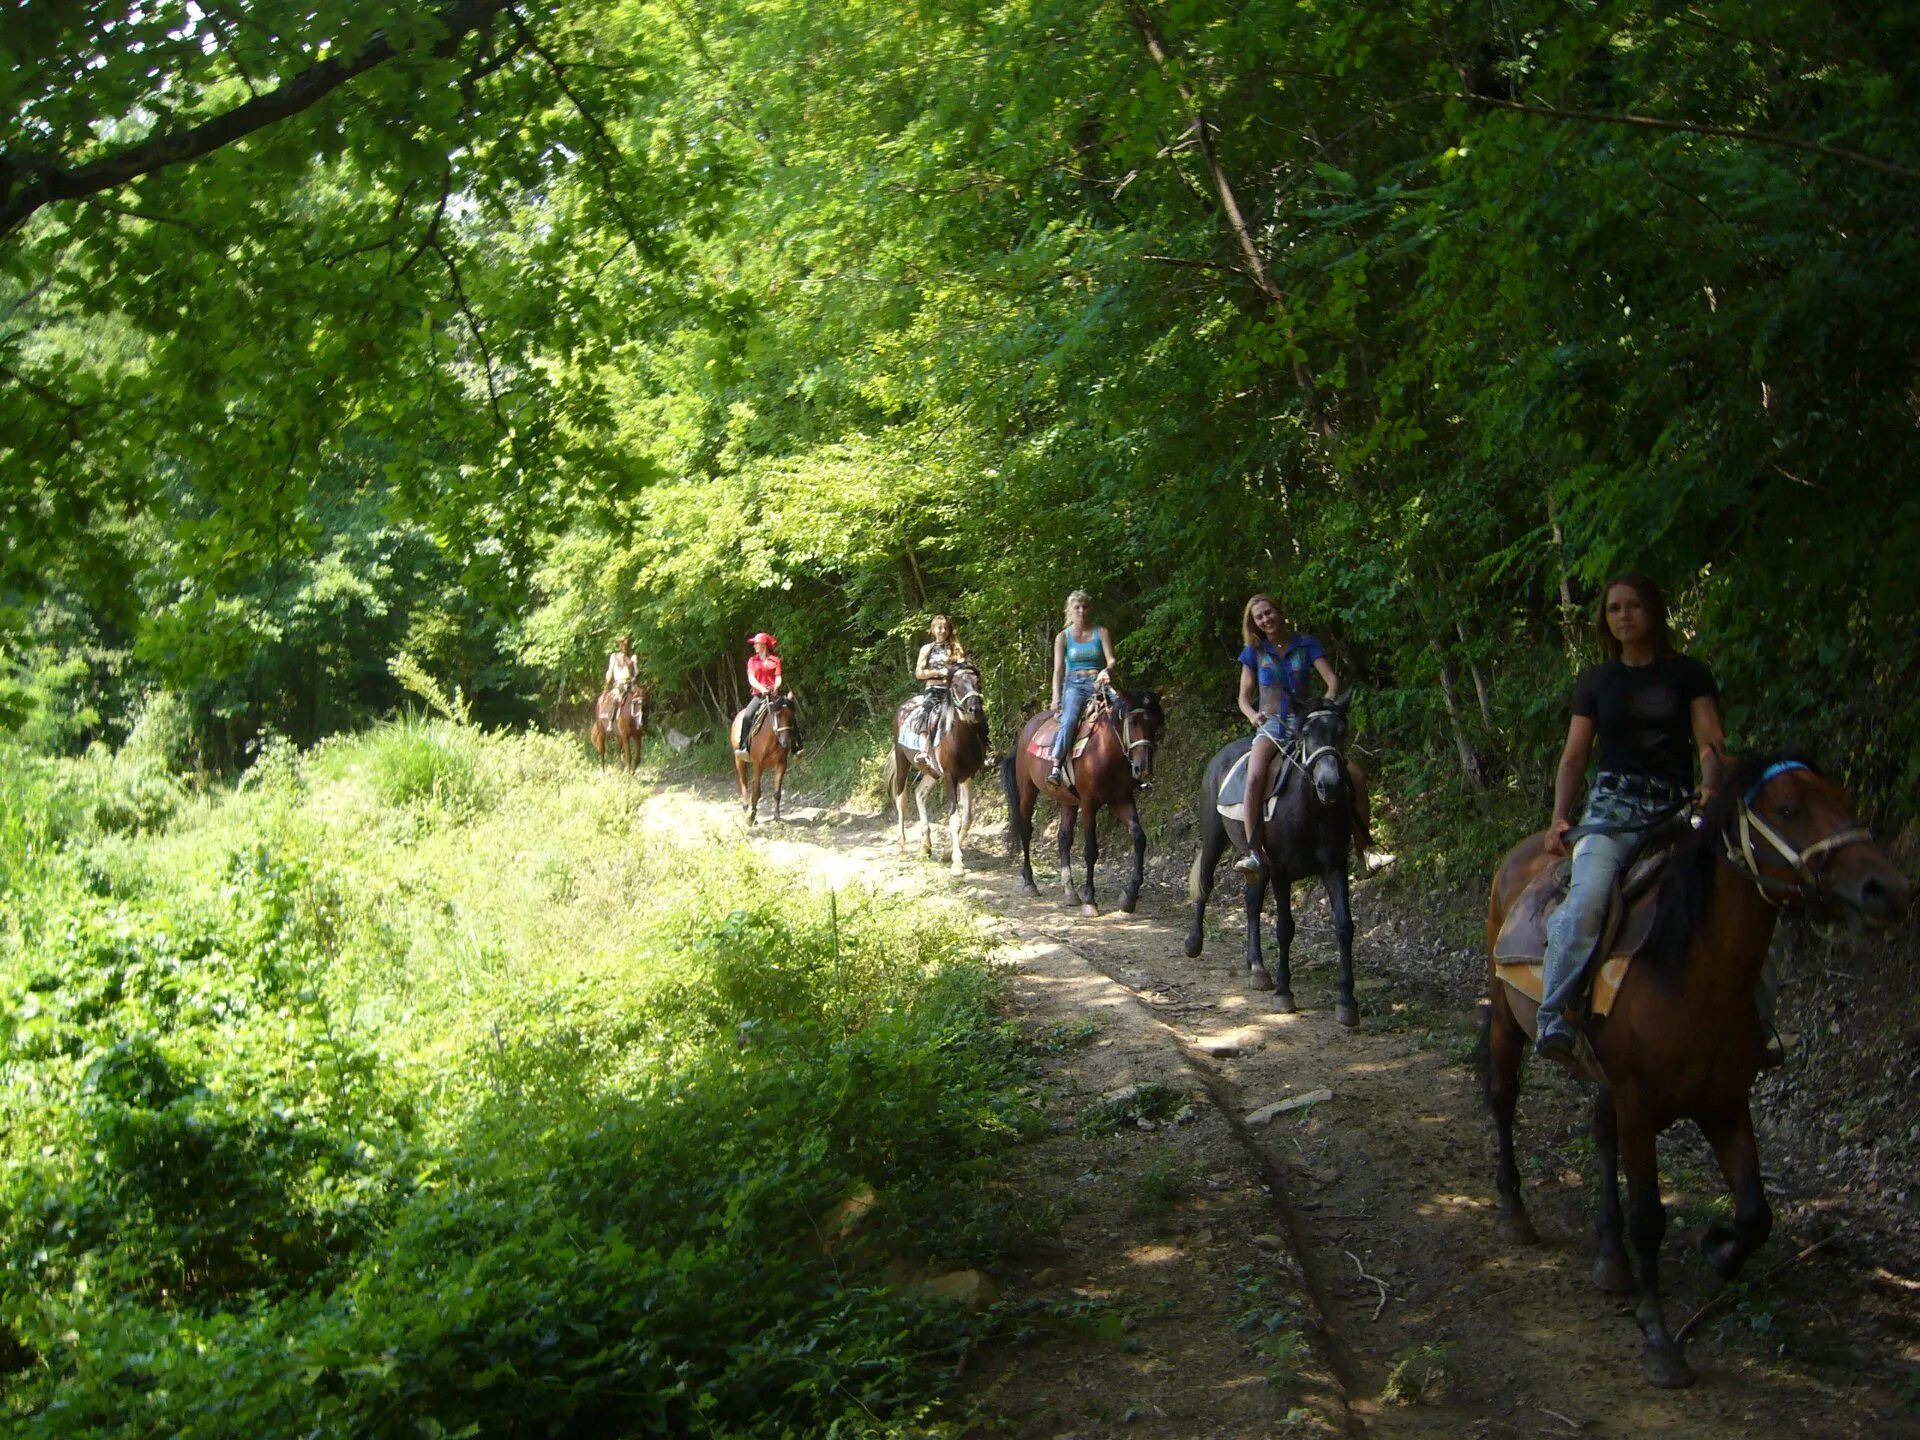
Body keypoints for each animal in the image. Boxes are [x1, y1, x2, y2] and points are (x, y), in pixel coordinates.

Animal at [729, 695, 798, 829]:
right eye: (778, 715)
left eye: (792, 715)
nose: (786, 742)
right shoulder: (758, 765)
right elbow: (756, 793)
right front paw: (751, 818)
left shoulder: (781, 764)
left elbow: (777, 792)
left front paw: (777, 816)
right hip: (739, 760)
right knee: (744, 783)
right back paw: (746, 810)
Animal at [883, 664, 990, 879]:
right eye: (956, 685)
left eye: (977, 682)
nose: (974, 710)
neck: (958, 738)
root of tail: (904, 706)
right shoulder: (950, 777)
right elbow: (954, 818)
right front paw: (957, 864)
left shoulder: (968, 777)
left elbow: (967, 817)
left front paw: (947, 853)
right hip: (902, 762)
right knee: (902, 799)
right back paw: (902, 846)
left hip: (931, 772)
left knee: (920, 793)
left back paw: (925, 846)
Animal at [998, 683, 1159, 913]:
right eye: (1133, 721)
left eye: (1154, 724)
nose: (1143, 768)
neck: (1105, 751)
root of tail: (1024, 734)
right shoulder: (1089, 804)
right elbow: (1091, 849)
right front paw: (1090, 899)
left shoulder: (1121, 799)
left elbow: (1139, 837)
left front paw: (1129, 896)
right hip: (1027, 789)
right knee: (1025, 830)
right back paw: (1030, 883)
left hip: (1067, 800)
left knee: (1064, 838)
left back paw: (1070, 891)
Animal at [1175, 695, 1359, 1029]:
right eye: (1306, 733)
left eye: (1341, 730)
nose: (1330, 785)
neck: (1309, 811)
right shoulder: (1281, 873)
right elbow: (1285, 928)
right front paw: (1285, 994)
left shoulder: (1335, 868)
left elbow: (1343, 926)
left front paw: (1347, 1002)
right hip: (1214, 836)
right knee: (1206, 882)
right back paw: (1194, 943)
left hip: (1257, 864)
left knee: (1251, 903)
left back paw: (1257, 967)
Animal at [1482, 760, 1904, 1390]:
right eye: (1788, 810)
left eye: (1847, 800)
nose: (1887, 889)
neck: (1691, 973)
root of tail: (1524, 851)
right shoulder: (1640, 1104)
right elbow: (1649, 1218)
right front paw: (1659, 1339)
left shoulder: (1726, 1103)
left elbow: (1756, 1212)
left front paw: (1718, 1249)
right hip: (1507, 1018)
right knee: (1504, 1098)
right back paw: (1515, 1212)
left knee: (1601, 1133)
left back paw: (1611, 1260)